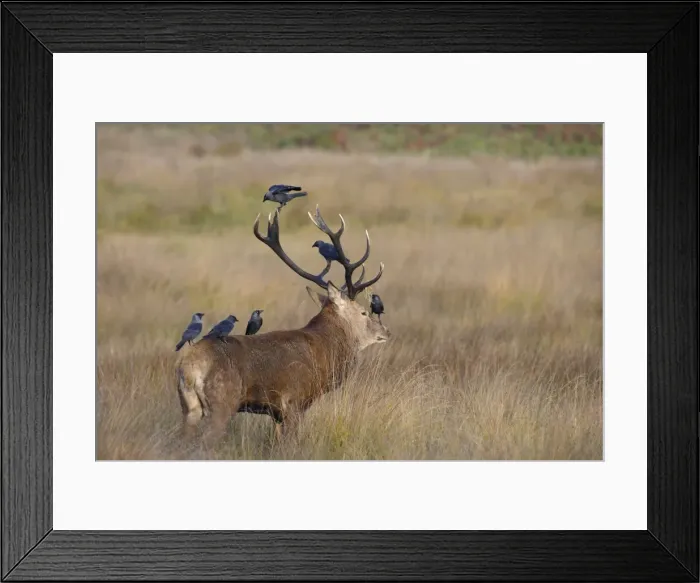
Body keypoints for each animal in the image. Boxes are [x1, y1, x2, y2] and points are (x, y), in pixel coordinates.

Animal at [175, 205, 391, 448]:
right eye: (363, 312)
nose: (386, 332)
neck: (324, 351)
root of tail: (188, 367)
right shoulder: (294, 401)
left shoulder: (276, 412)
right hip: (223, 401)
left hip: (189, 408)